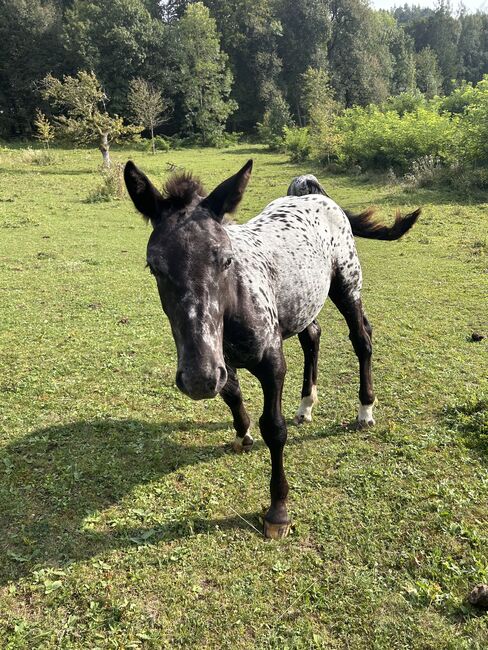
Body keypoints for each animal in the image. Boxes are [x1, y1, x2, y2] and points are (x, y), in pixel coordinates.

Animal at [124, 161, 422, 536]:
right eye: (154, 266)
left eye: (226, 260)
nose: (198, 379)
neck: (236, 301)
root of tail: (313, 194)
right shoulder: (222, 360)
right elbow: (232, 393)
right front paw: (242, 435)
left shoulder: (271, 363)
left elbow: (274, 428)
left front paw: (278, 510)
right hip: (302, 304)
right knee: (313, 337)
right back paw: (306, 405)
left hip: (347, 287)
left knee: (361, 339)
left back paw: (365, 410)